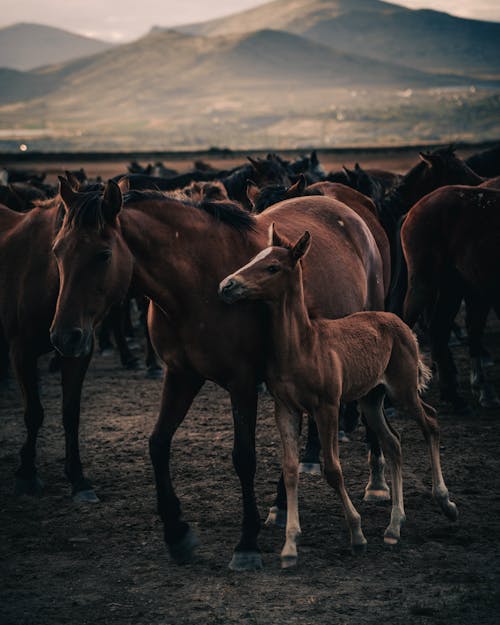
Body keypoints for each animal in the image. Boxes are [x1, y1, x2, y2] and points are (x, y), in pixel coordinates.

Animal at [48, 178, 386, 568]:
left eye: (102, 254)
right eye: (57, 251)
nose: (64, 337)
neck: (197, 284)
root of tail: (345, 209)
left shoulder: (243, 384)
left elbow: (244, 457)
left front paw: (246, 544)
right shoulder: (180, 375)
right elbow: (158, 443)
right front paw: (177, 533)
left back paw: (377, 484)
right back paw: (281, 506)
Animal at [219, 224, 458, 564]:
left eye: (273, 267)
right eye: (254, 257)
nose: (227, 285)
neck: (302, 346)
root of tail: (398, 322)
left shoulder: (327, 407)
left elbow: (332, 469)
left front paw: (356, 533)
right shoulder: (285, 408)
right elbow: (289, 469)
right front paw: (290, 545)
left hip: (403, 391)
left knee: (431, 422)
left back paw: (445, 502)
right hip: (371, 399)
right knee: (394, 443)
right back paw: (394, 525)